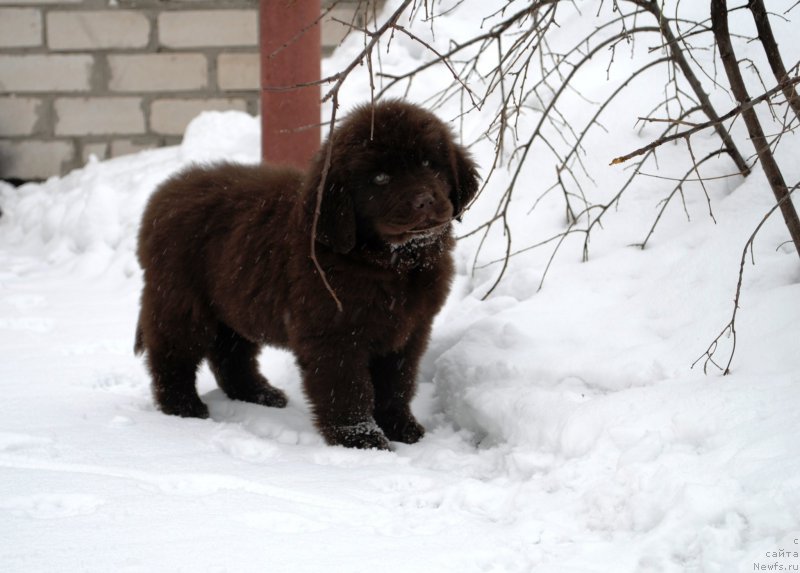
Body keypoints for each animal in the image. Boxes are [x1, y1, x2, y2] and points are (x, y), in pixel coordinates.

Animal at [134, 98, 478, 450]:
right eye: (381, 178)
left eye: (429, 164)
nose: (424, 200)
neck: (393, 264)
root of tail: (164, 195)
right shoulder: (334, 334)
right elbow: (348, 389)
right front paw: (362, 440)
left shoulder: (409, 330)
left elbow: (397, 382)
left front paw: (401, 427)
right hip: (181, 300)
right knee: (172, 354)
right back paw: (183, 407)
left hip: (234, 302)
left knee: (231, 353)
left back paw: (259, 394)